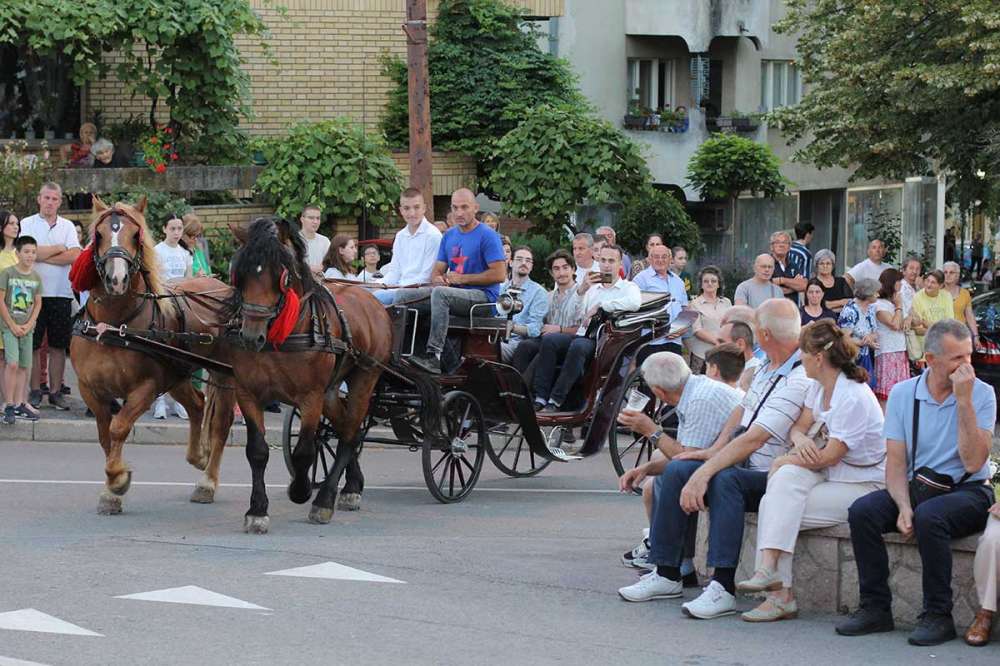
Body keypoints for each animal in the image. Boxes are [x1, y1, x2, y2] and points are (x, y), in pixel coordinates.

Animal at [70, 197, 234, 512]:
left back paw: (207, 482)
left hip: (224, 373)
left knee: (221, 422)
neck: (113, 326)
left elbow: (119, 427)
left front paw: (118, 481)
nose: (117, 279)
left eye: (136, 235)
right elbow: (104, 435)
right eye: (99, 235)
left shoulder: (145, 387)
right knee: (197, 404)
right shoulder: (90, 389)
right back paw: (198, 456)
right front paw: (112, 488)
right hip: (177, 372)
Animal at [229, 215, 392, 532]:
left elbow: (304, 450)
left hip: (364, 379)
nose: (251, 336)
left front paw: (301, 490)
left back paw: (325, 499)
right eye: (239, 274)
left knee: (349, 433)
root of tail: (370, 298)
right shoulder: (247, 393)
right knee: (346, 429)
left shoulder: (310, 397)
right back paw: (352, 485)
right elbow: (257, 451)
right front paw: (257, 510)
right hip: (331, 391)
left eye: (280, 276)